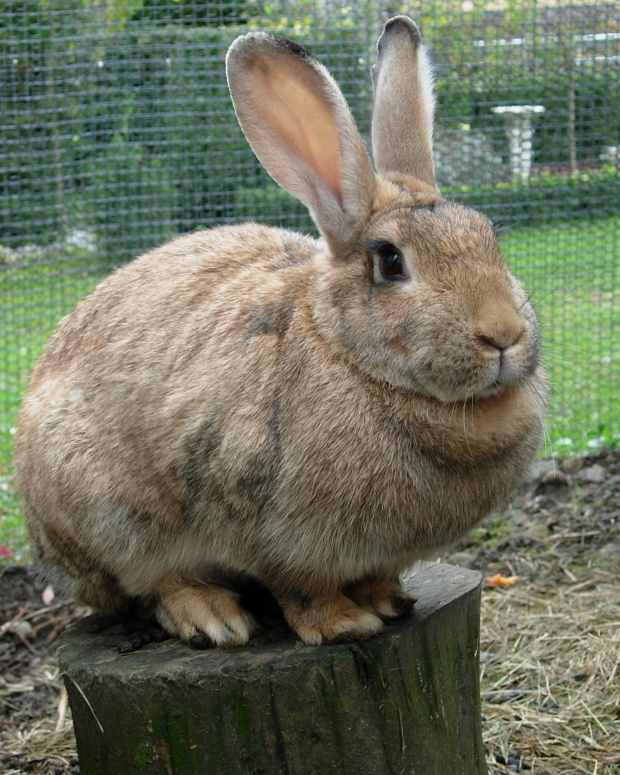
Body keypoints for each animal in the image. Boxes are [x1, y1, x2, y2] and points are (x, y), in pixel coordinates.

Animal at [14, 16, 547, 647]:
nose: (503, 334)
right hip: (111, 518)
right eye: (391, 262)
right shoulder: (272, 528)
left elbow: (375, 574)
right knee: (152, 581)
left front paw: (386, 600)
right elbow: (300, 587)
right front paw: (345, 623)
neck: (345, 352)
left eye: (488, 235)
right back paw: (212, 618)